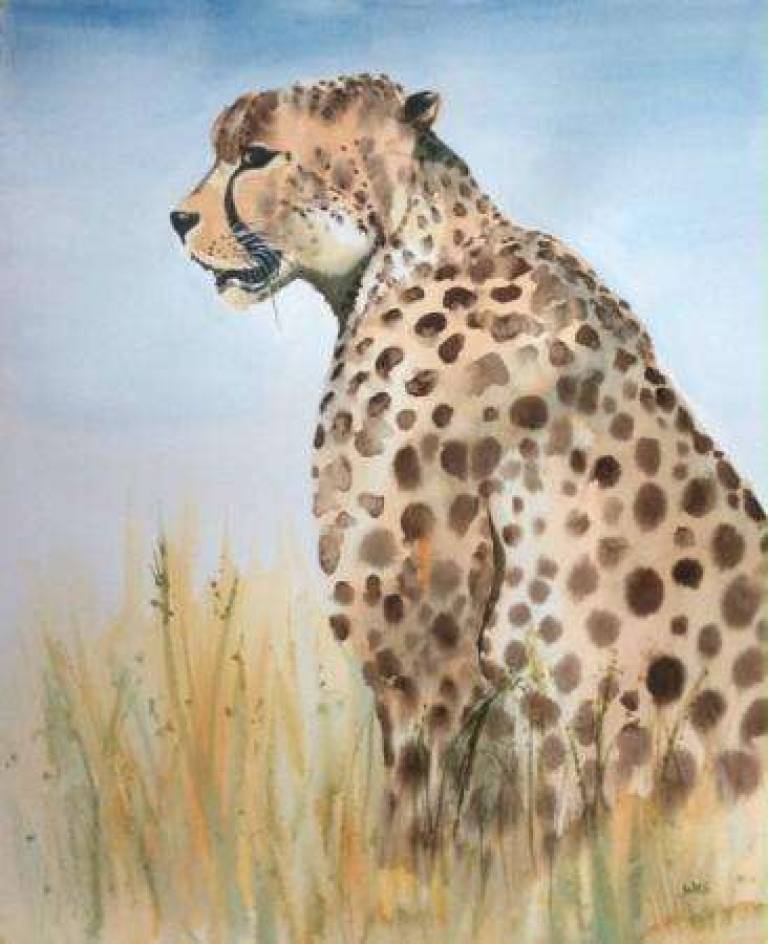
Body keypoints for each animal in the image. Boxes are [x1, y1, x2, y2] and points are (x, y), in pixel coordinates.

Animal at [172, 73, 766, 859]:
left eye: (257, 156)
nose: (177, 219)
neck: (408, 247)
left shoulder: (421, 658)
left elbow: (416, 809)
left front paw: (400, 884)